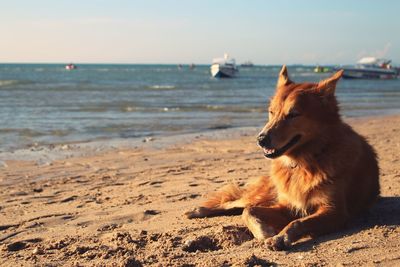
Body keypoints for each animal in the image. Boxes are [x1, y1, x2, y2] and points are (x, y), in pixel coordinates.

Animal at [186, 66, 380, 251]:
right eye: (271, 112)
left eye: (293, 114)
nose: (261, 139)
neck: (304, 162)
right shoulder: (287, 204)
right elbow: (249, 212)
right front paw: (264, 232)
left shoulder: (335, 211)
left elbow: (297, 222)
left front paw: (279, 237)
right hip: (267, 193)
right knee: (235, 203)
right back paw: (198, 210)